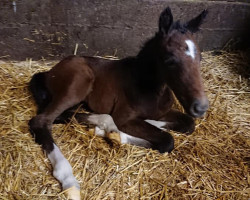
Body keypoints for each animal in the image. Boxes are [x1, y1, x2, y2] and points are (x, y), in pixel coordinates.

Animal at [29, 7, 209, 199]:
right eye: (170, 60)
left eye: (200, 58)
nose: (200, 107)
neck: (147, 87)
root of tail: (49, 72)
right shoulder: (124, 118)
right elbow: (166, 140)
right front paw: (118, 134)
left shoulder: (162, 112)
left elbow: (187, 124)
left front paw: (114, 132)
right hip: (78, 83)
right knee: (42, 121)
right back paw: (68, 179)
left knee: (65, 115)